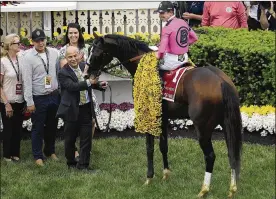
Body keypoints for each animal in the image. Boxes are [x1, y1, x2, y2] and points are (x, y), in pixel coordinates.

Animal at [85, 32, 242, 197]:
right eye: (89, 50)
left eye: (98, 53)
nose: (87, 74)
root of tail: (221, 81)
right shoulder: (163, 117)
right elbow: (163, 146)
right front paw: (166, 174)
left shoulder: (148, 115)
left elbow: (150, 148)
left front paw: (149, 178)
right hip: (227, 123)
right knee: (232, 152)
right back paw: (232, 189)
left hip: (203, 128)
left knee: (210, 156)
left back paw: (204, 189)